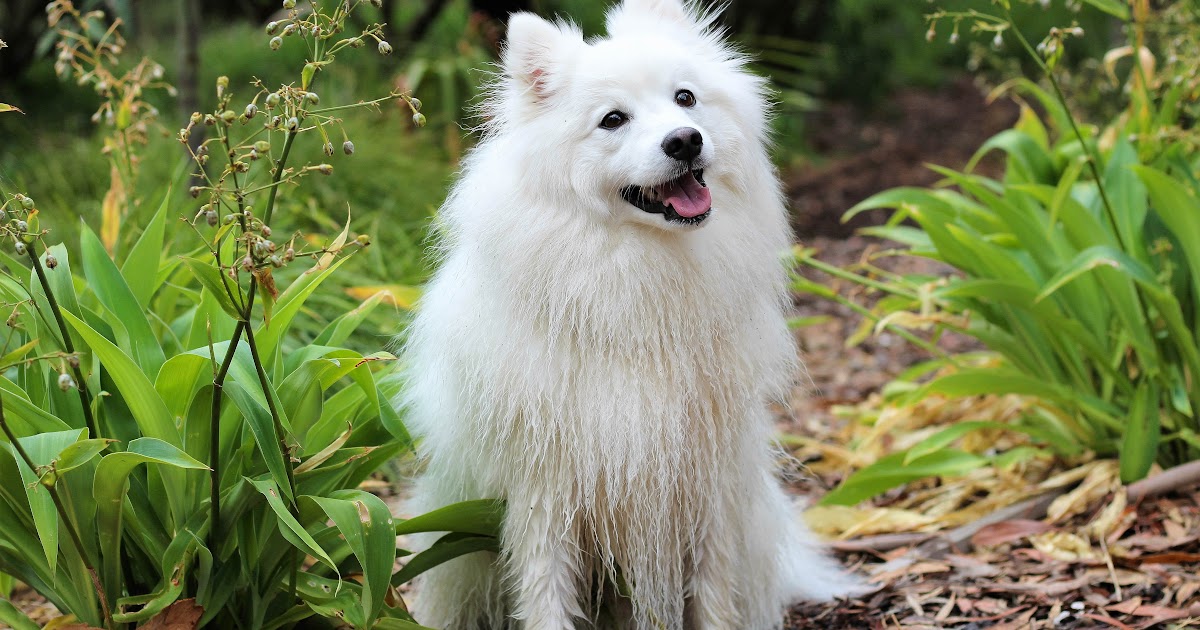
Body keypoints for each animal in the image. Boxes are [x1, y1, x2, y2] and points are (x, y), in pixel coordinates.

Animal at [403, 2, 864, 624]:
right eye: (613, 119)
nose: (685, 141)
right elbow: (546, 596)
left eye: (685, 98)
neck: (641, 277)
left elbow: (712, 597)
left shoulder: (705, 484)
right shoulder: (547, 492)